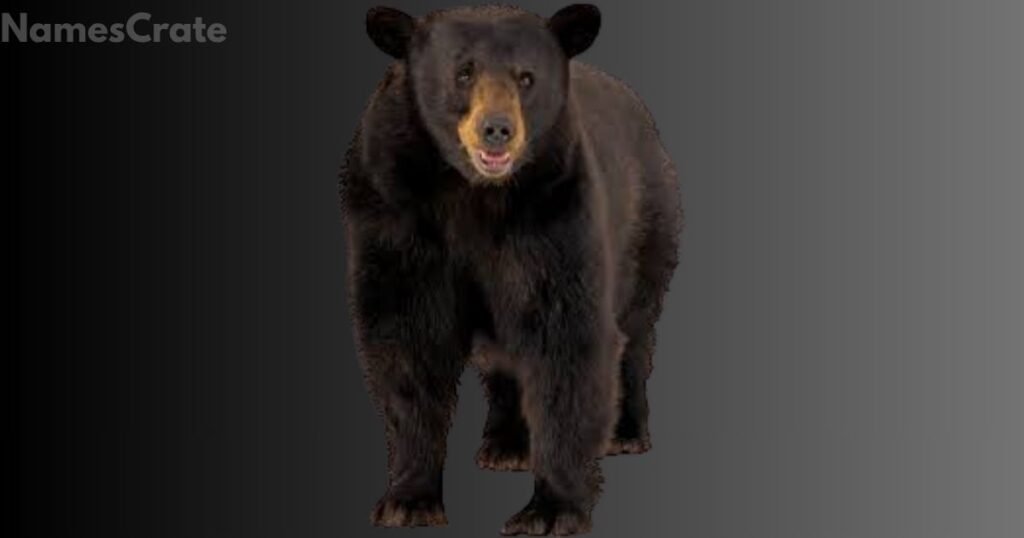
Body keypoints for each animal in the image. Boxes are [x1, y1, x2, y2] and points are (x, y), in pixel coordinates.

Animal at [339, 4, 682, 535]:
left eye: (527, 78)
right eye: (462, 72)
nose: (496, 129)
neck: (472, 192)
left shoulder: (558, 211)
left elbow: (569, 341)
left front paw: (550, 509)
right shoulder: (392, 215)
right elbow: (406, 346)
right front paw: (408, 499)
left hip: (648, 223)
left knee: (637, 331)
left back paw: (626, 430)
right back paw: (505, 444)